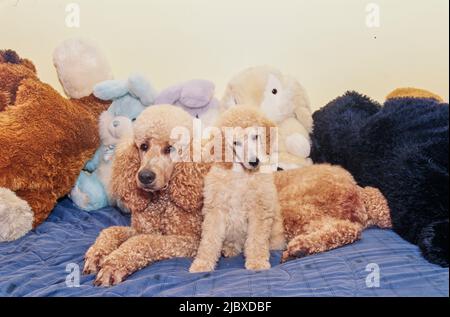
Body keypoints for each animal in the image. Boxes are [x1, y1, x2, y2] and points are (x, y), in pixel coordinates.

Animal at [84, 104, 211, 286]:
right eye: (143, 146)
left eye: (170, 149)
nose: (144, 176)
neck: (161, 204)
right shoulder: (139, 229)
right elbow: (111, 230)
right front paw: (97, 253)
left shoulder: (189, 240)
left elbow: (144, 241)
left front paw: (113, 264)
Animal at [191, 123, 284, 272]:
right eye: (236, 143)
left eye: (255, 136)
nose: (254, 162)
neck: (241, 173)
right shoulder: (216, 210)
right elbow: (209, 239)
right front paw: (202, 263)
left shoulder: (259, 209)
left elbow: (257, 238)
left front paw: (257, 261)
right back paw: (228, 249)